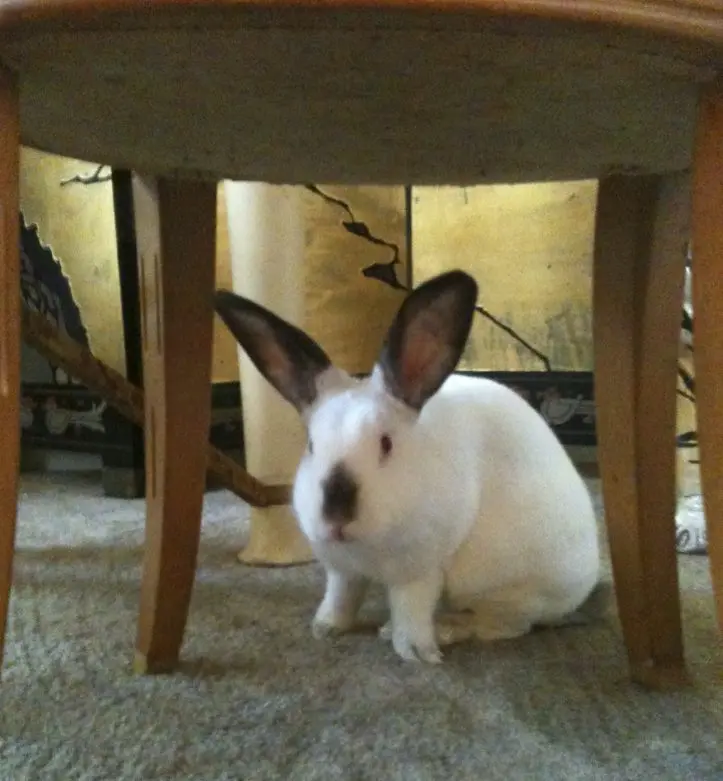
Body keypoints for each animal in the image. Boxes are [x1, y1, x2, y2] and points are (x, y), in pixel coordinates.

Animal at [215, 269, 601, 664]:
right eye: (310, 446)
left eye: (386, 444)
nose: (336, 512)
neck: (364, 547)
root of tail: (587, 578)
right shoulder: (342, 571)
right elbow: (340, 597)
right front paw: (325, 628)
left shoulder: (419, 571)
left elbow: (411, 609)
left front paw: (416, 651)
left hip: (506, 589)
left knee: (502, 625)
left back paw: (442, 629)